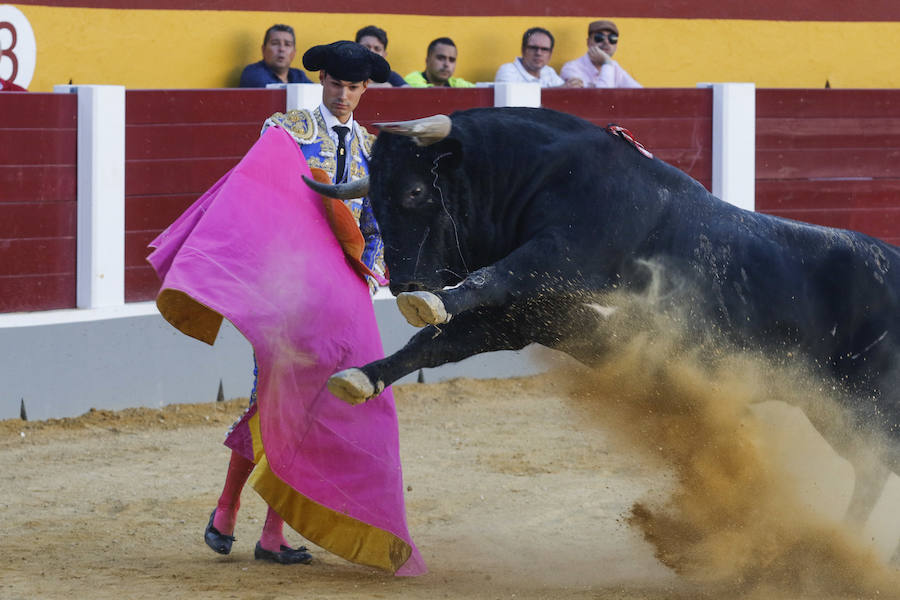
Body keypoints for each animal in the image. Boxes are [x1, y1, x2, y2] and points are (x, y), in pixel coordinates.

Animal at [308, 108, 900, 524]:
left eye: (414, 192)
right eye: (372, 204)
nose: (404, 286)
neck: (543, 177)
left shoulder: (557, 257)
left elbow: (491, 278)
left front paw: (428, 304)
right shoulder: (524, 318)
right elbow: (433, 345)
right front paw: (359, 377)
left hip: (868, 404)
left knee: (877, 466)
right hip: (830, 407)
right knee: (872, 469)